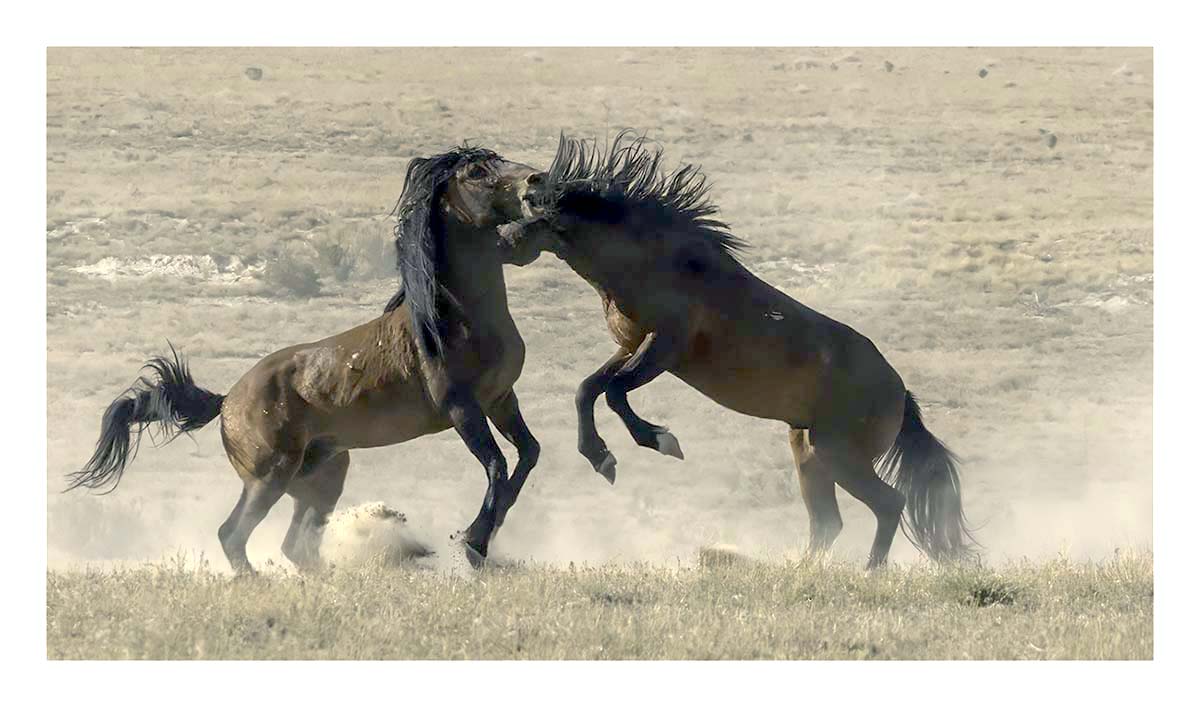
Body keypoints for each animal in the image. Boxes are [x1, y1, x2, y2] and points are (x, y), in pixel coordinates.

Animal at [67, 146, 546, 573]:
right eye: (477, 172)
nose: (536, 181)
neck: (454, 317)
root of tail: (226, 401)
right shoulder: (462, 408)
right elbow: (497, 465)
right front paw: (473, 543)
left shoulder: (501, 399)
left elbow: (527, 455)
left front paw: (488, 533)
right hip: (269, 478)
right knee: (234, 534)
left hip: (321, 478)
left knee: (295, 545)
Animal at [498, 132, 977, 568]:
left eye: (537, 209)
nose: (502, 240)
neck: (657, 264)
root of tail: (901, 395)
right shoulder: (630, 346)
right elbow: (588, 390)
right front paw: (601, 458)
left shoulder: (663, 348)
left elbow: (614, 392)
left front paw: (660, 441)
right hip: (809, 453)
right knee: (828, 522)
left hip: (839, 455)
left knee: (888, 503)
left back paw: (869, 571)